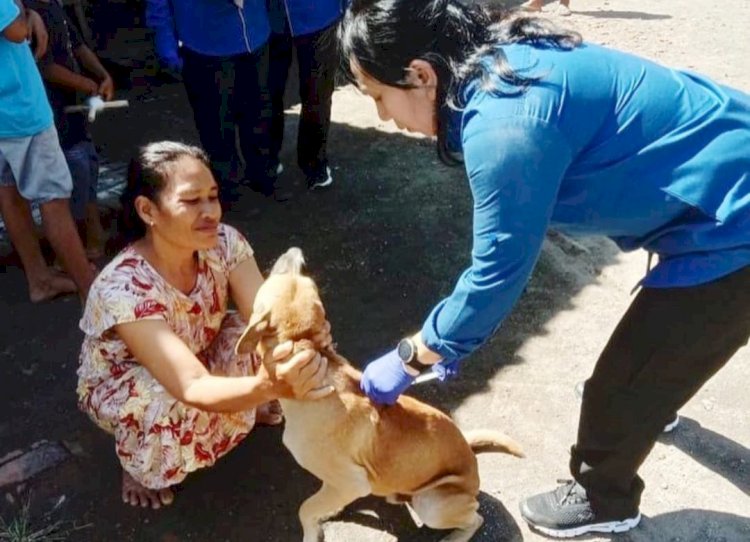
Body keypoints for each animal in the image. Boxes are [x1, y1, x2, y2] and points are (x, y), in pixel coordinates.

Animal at [235, 250, 524, 542]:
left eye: (289, 272)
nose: (295, 251)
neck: (308, 346)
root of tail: (470, 458)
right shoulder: (339, 484)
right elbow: (319, 503)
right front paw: (327, 513)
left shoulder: (351, 482)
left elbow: (305, 509)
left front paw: (312, 533)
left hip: (431, 504)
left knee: (476, 518)